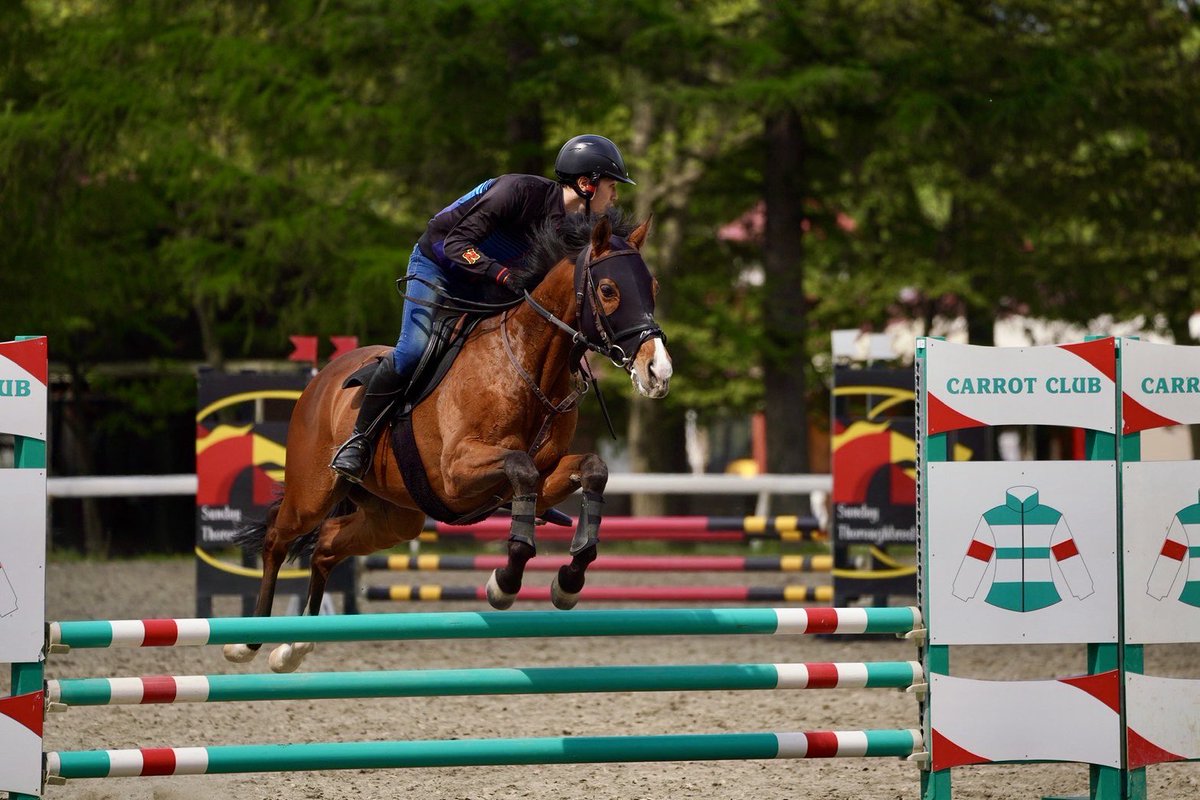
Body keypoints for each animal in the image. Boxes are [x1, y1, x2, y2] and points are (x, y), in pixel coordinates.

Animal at [224, 212, 672, 672]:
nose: (658, 372)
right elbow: (521, 468)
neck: (528, 366)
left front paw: (569, 580)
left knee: (327, 546)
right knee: (277, 539)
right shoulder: (457, 473)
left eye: (653, 288)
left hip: (393, 518)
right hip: (312, 493)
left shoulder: (545, 476)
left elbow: (590, 469)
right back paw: (247, 641)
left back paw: (294, 647)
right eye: (608, 290)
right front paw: (505, 582)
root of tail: (321, 379)